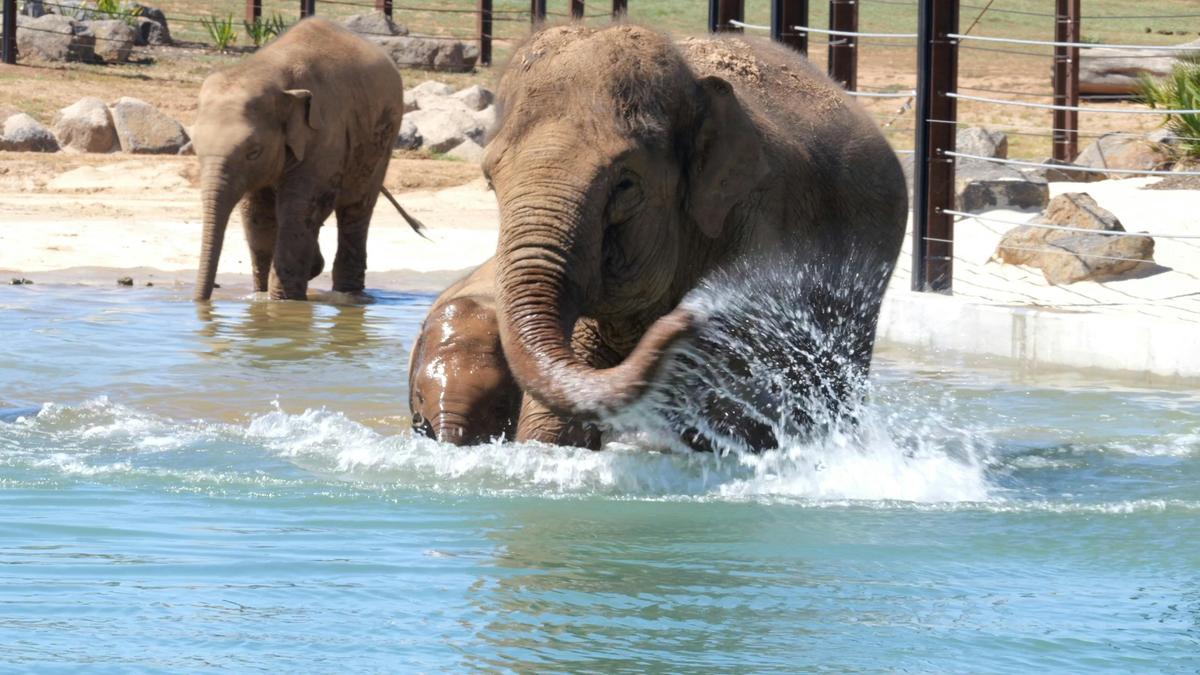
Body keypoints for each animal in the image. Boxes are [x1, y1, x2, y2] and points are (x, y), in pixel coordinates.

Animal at [191, 17, 423, 302]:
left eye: (253, 151)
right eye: (195, 148)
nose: (200, 301)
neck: (267, 71)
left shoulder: (326, 134)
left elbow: (300, 207)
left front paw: (283, 302)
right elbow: (256, 212)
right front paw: (262, 297)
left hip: (383, 139)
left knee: (356, 210)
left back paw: (348, 295)